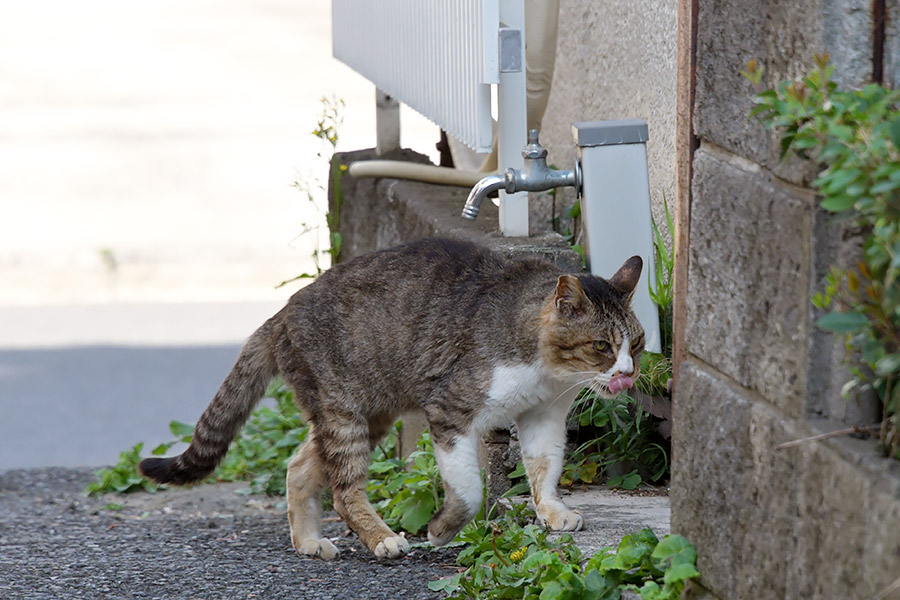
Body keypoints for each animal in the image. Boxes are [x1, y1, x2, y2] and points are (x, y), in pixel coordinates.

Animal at [137, 237, 644, 560]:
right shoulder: (450, 413)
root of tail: (282, 312)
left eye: (636, 344)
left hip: (367, 414)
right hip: (343, 410)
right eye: (602, 346)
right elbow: (469, 488)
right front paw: (442, 529)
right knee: (344, 492)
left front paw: (553, 512)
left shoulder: (544, 416)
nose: (627, 373)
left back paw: (309, 543)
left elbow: (544, 470)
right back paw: (382, 538)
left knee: (298, 467)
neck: (547, 374)